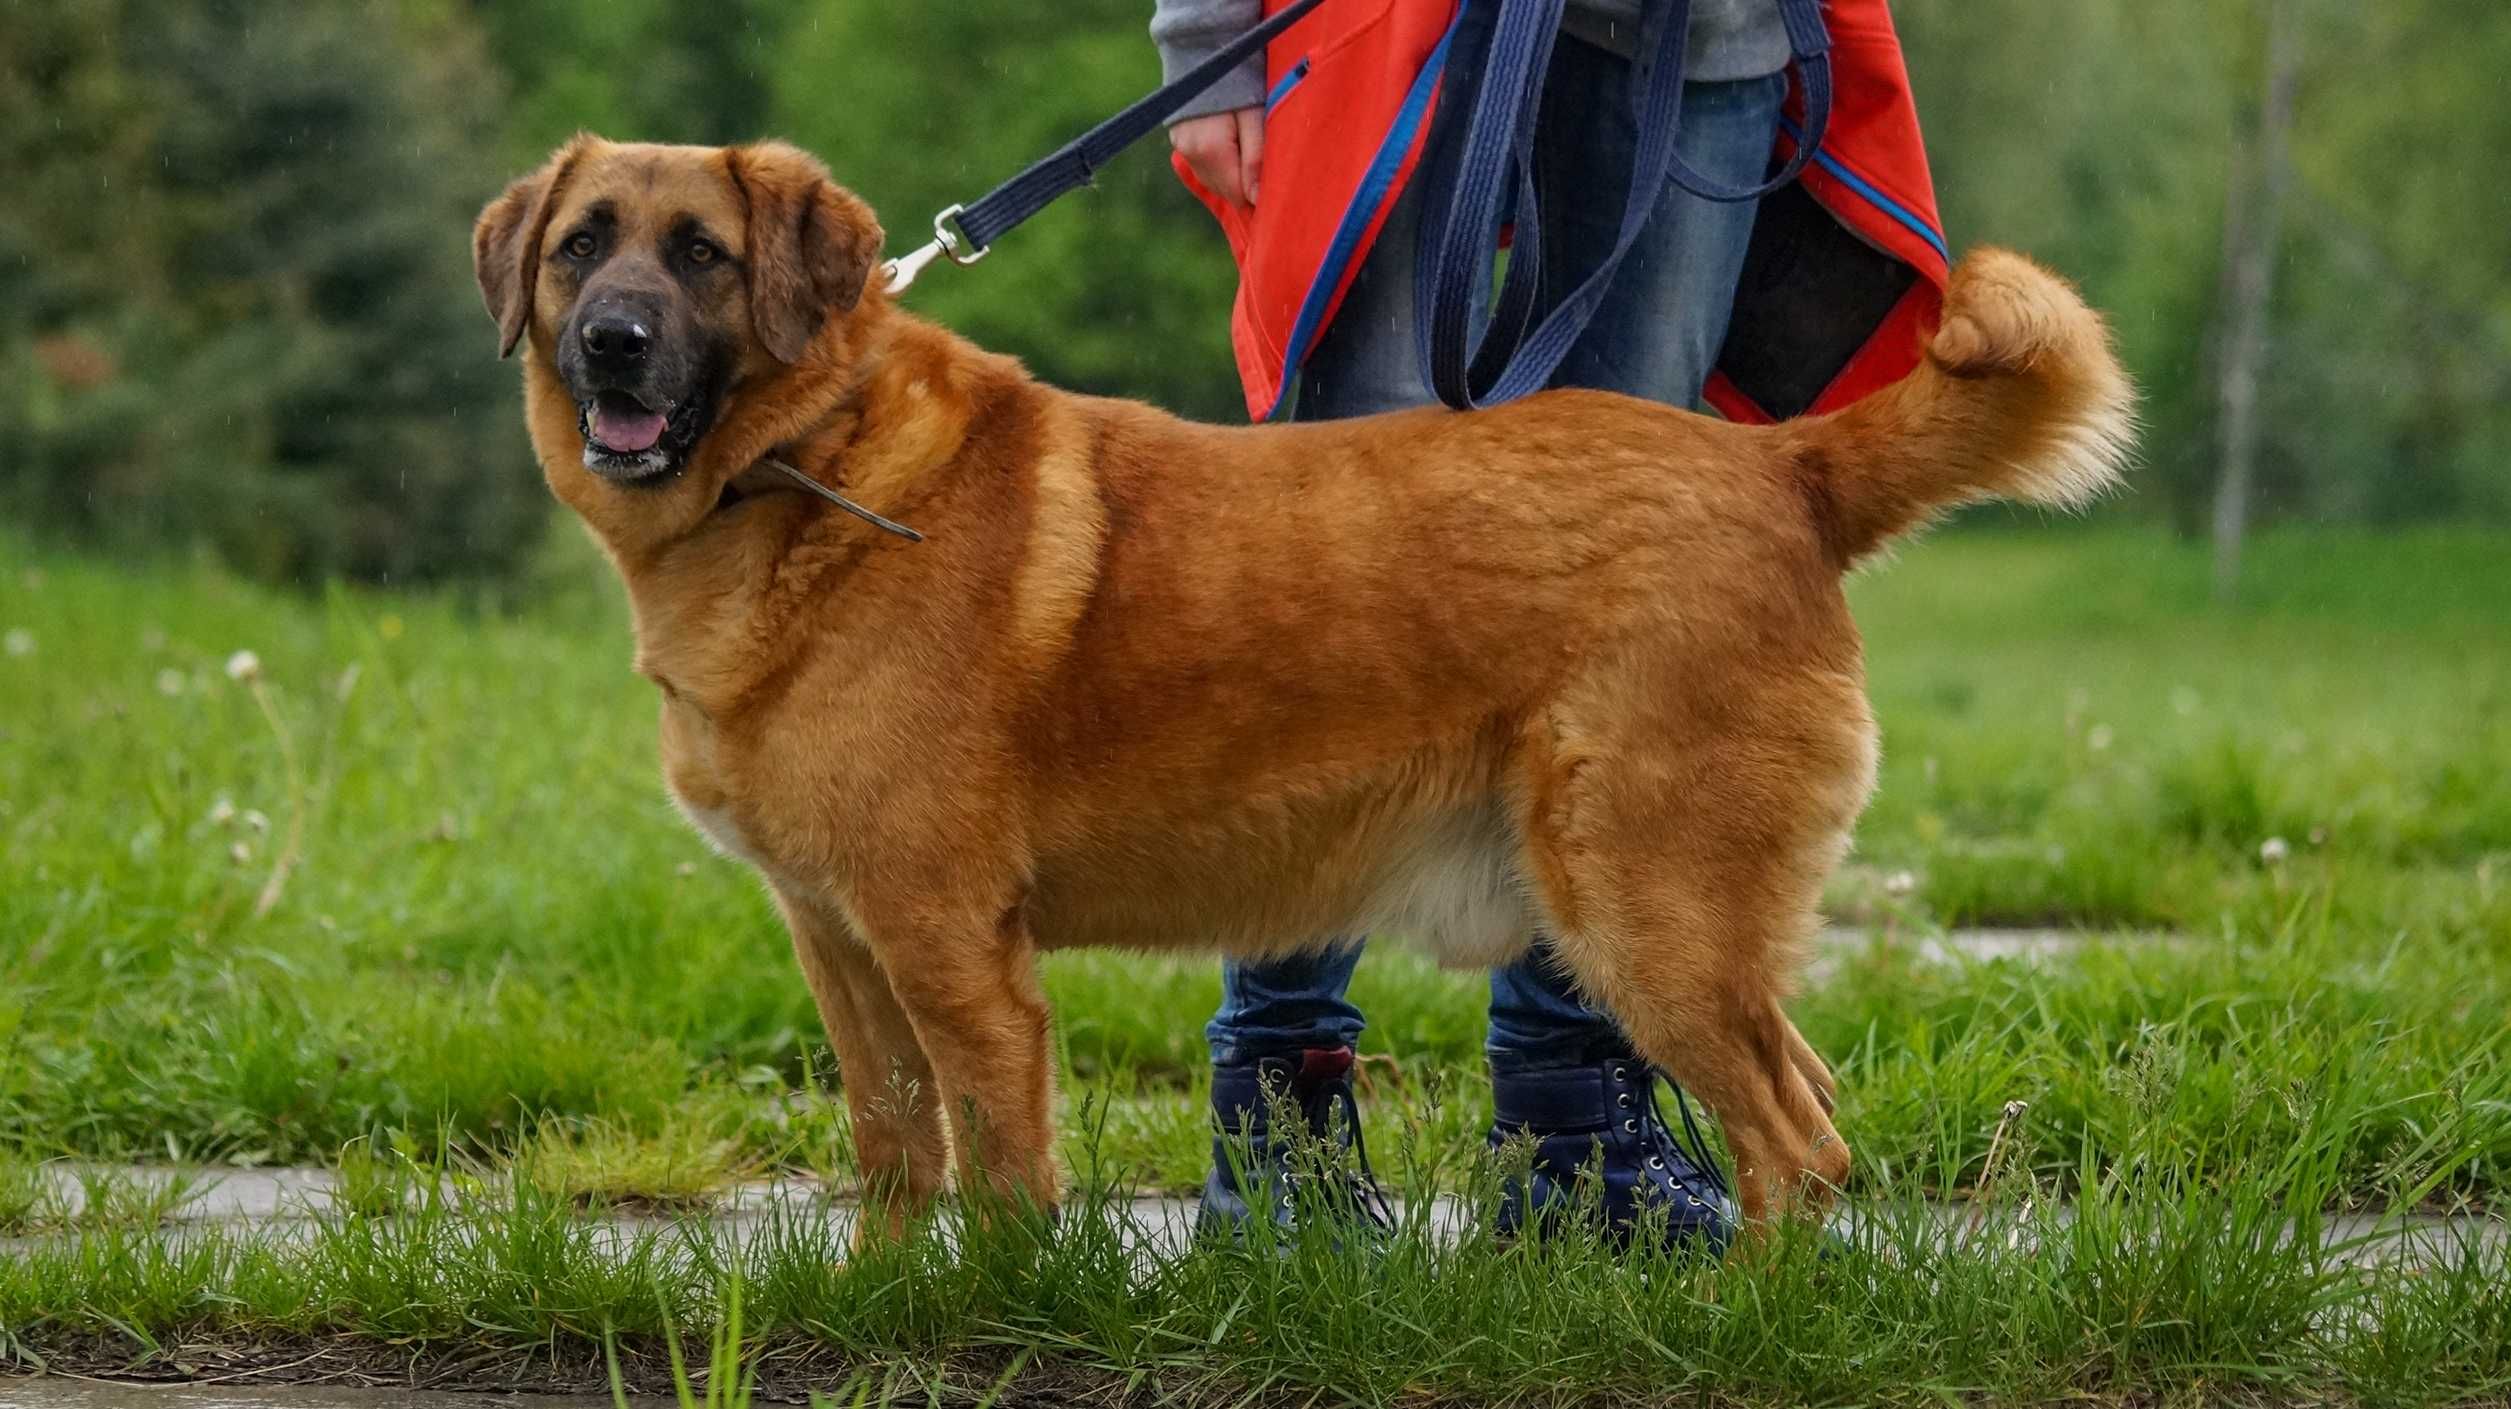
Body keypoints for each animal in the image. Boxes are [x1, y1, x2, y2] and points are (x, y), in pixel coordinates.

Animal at [467, 131, 2119, 1230]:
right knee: (1810, 1118)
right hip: (1679, 933)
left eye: (701, 255)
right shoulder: (838, 939)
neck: (808, 467)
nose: (611, 346)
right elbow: (892, 1156)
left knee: (1790, 1147)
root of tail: (1780, 467)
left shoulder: (948, 950)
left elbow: (998, 1185)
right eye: (579, 247)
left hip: (1649, 918)